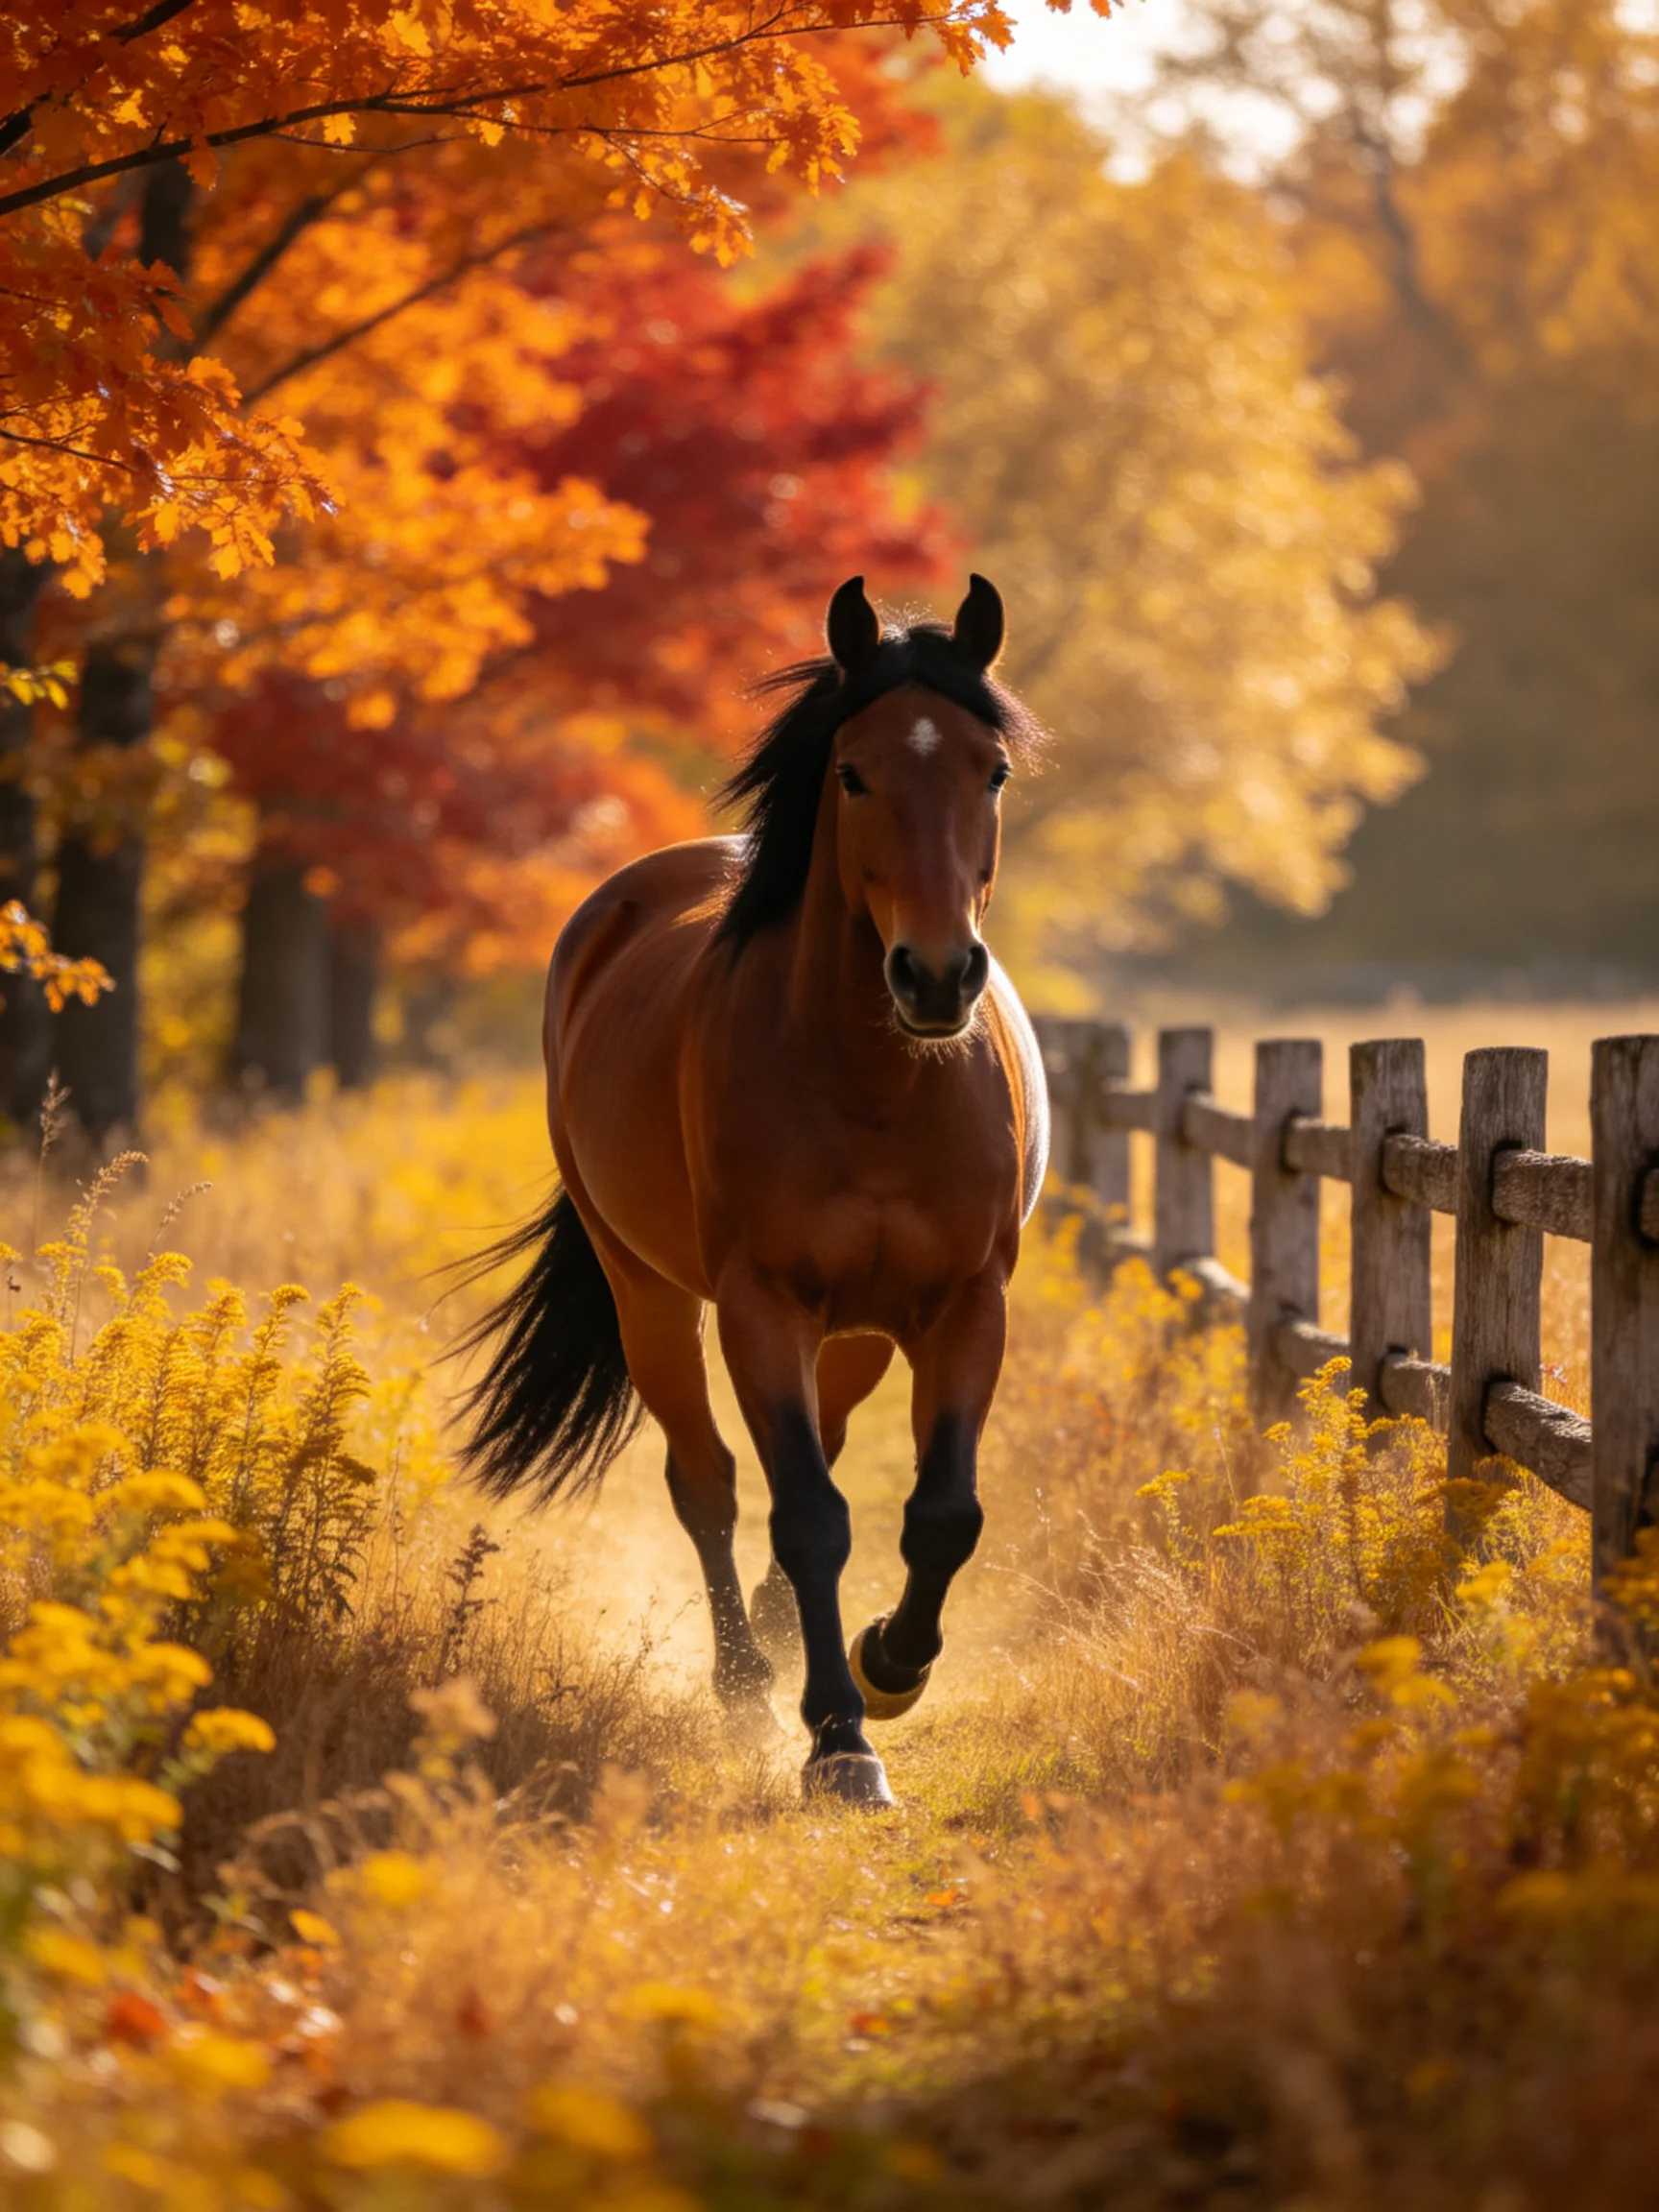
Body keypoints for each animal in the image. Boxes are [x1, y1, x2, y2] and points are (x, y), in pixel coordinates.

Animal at [458, 574, 1049, 1807]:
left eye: (993, 772)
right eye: (853, 772)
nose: (936, 976)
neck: (878, 1081)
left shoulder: (966, 1306)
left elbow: (943, 1513)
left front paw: (889, 1667)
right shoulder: (761, 1306)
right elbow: (807, 1516)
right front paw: (839, 1739)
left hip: (861, 1332)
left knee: (819, 1442)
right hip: (651, 1299)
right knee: (711, 1482)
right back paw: (743, 1681)